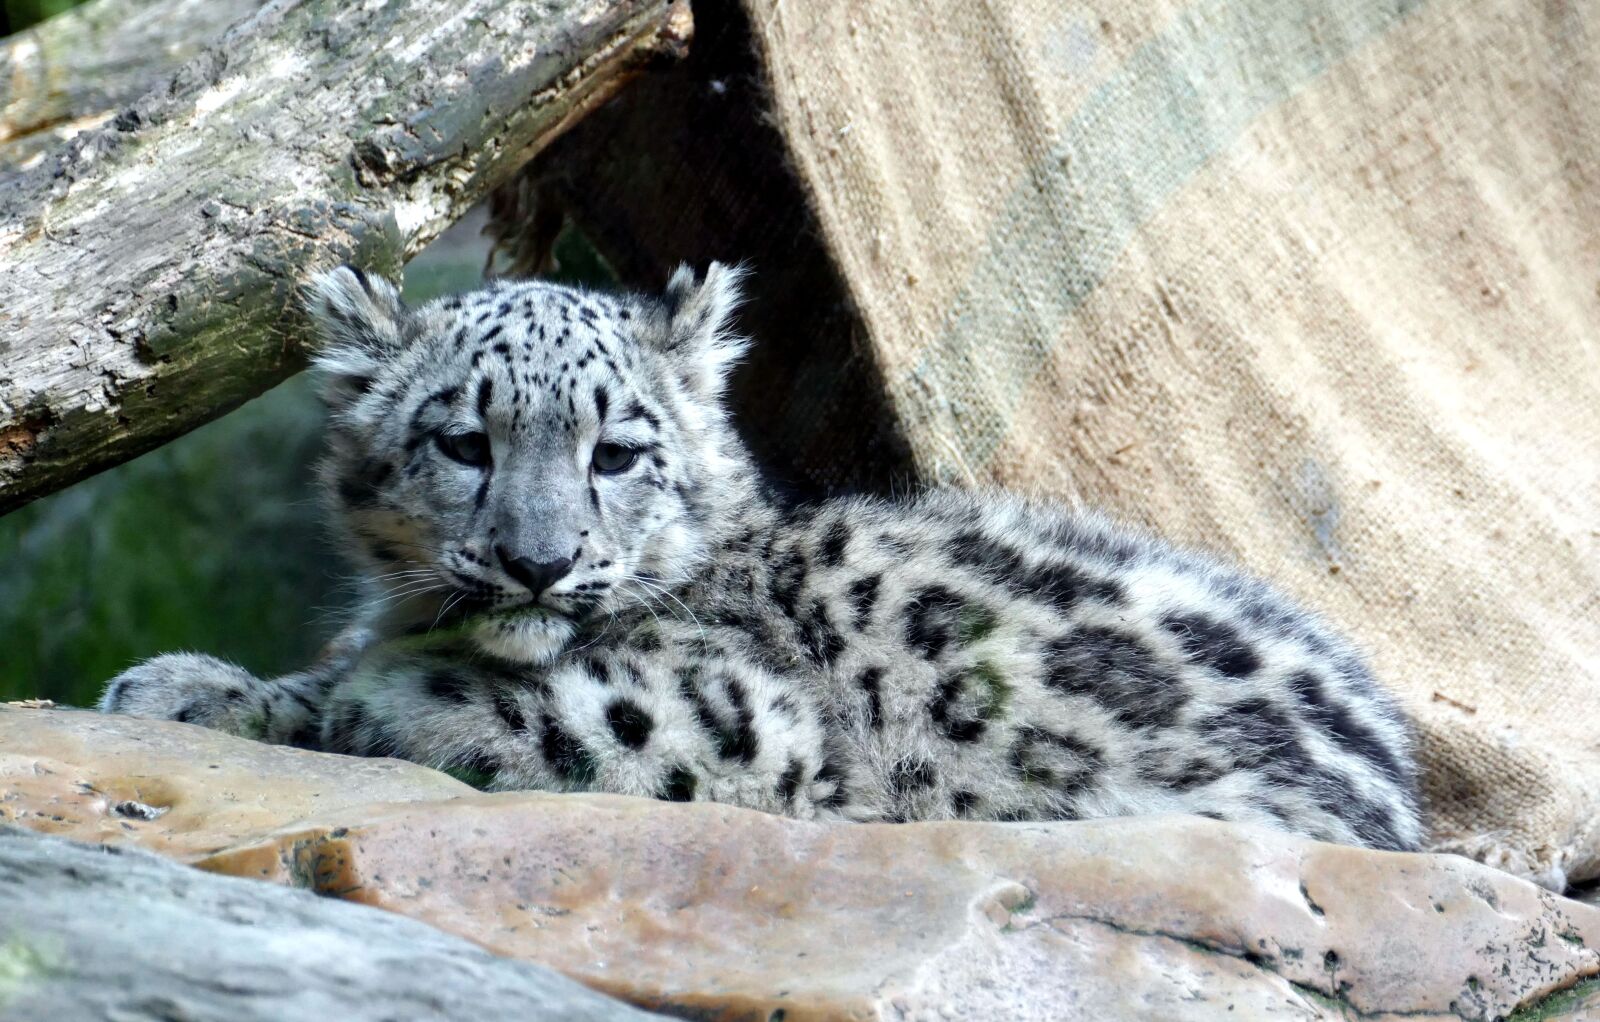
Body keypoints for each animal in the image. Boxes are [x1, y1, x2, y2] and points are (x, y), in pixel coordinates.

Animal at [100, 262, 1424, 850]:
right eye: (463, 440)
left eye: (618, 450)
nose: (537, 560)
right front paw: (183, 684)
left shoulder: (732, 716)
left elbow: (481, 706)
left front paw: (372, 691)